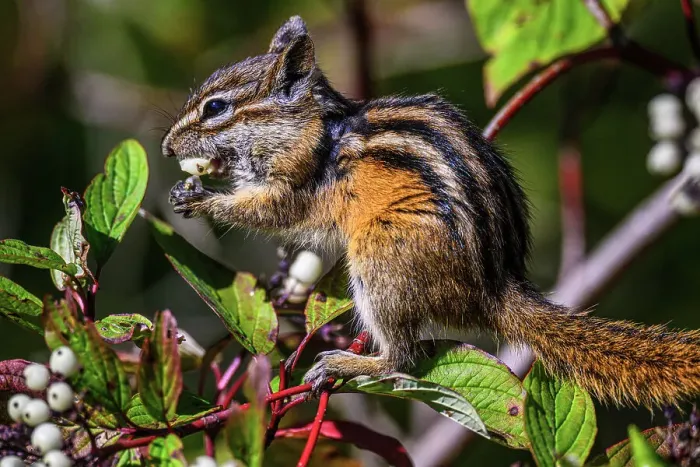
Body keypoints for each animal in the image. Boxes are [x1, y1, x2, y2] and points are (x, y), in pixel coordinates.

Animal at [162, 16, 700, 407]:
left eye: (215, 108)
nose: (167, 147)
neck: (313, 126)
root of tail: (494, 290)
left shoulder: (299, 178)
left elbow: (271, 212)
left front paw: (202, 197)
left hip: (382, 254)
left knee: (406, 356)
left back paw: (350, 364)